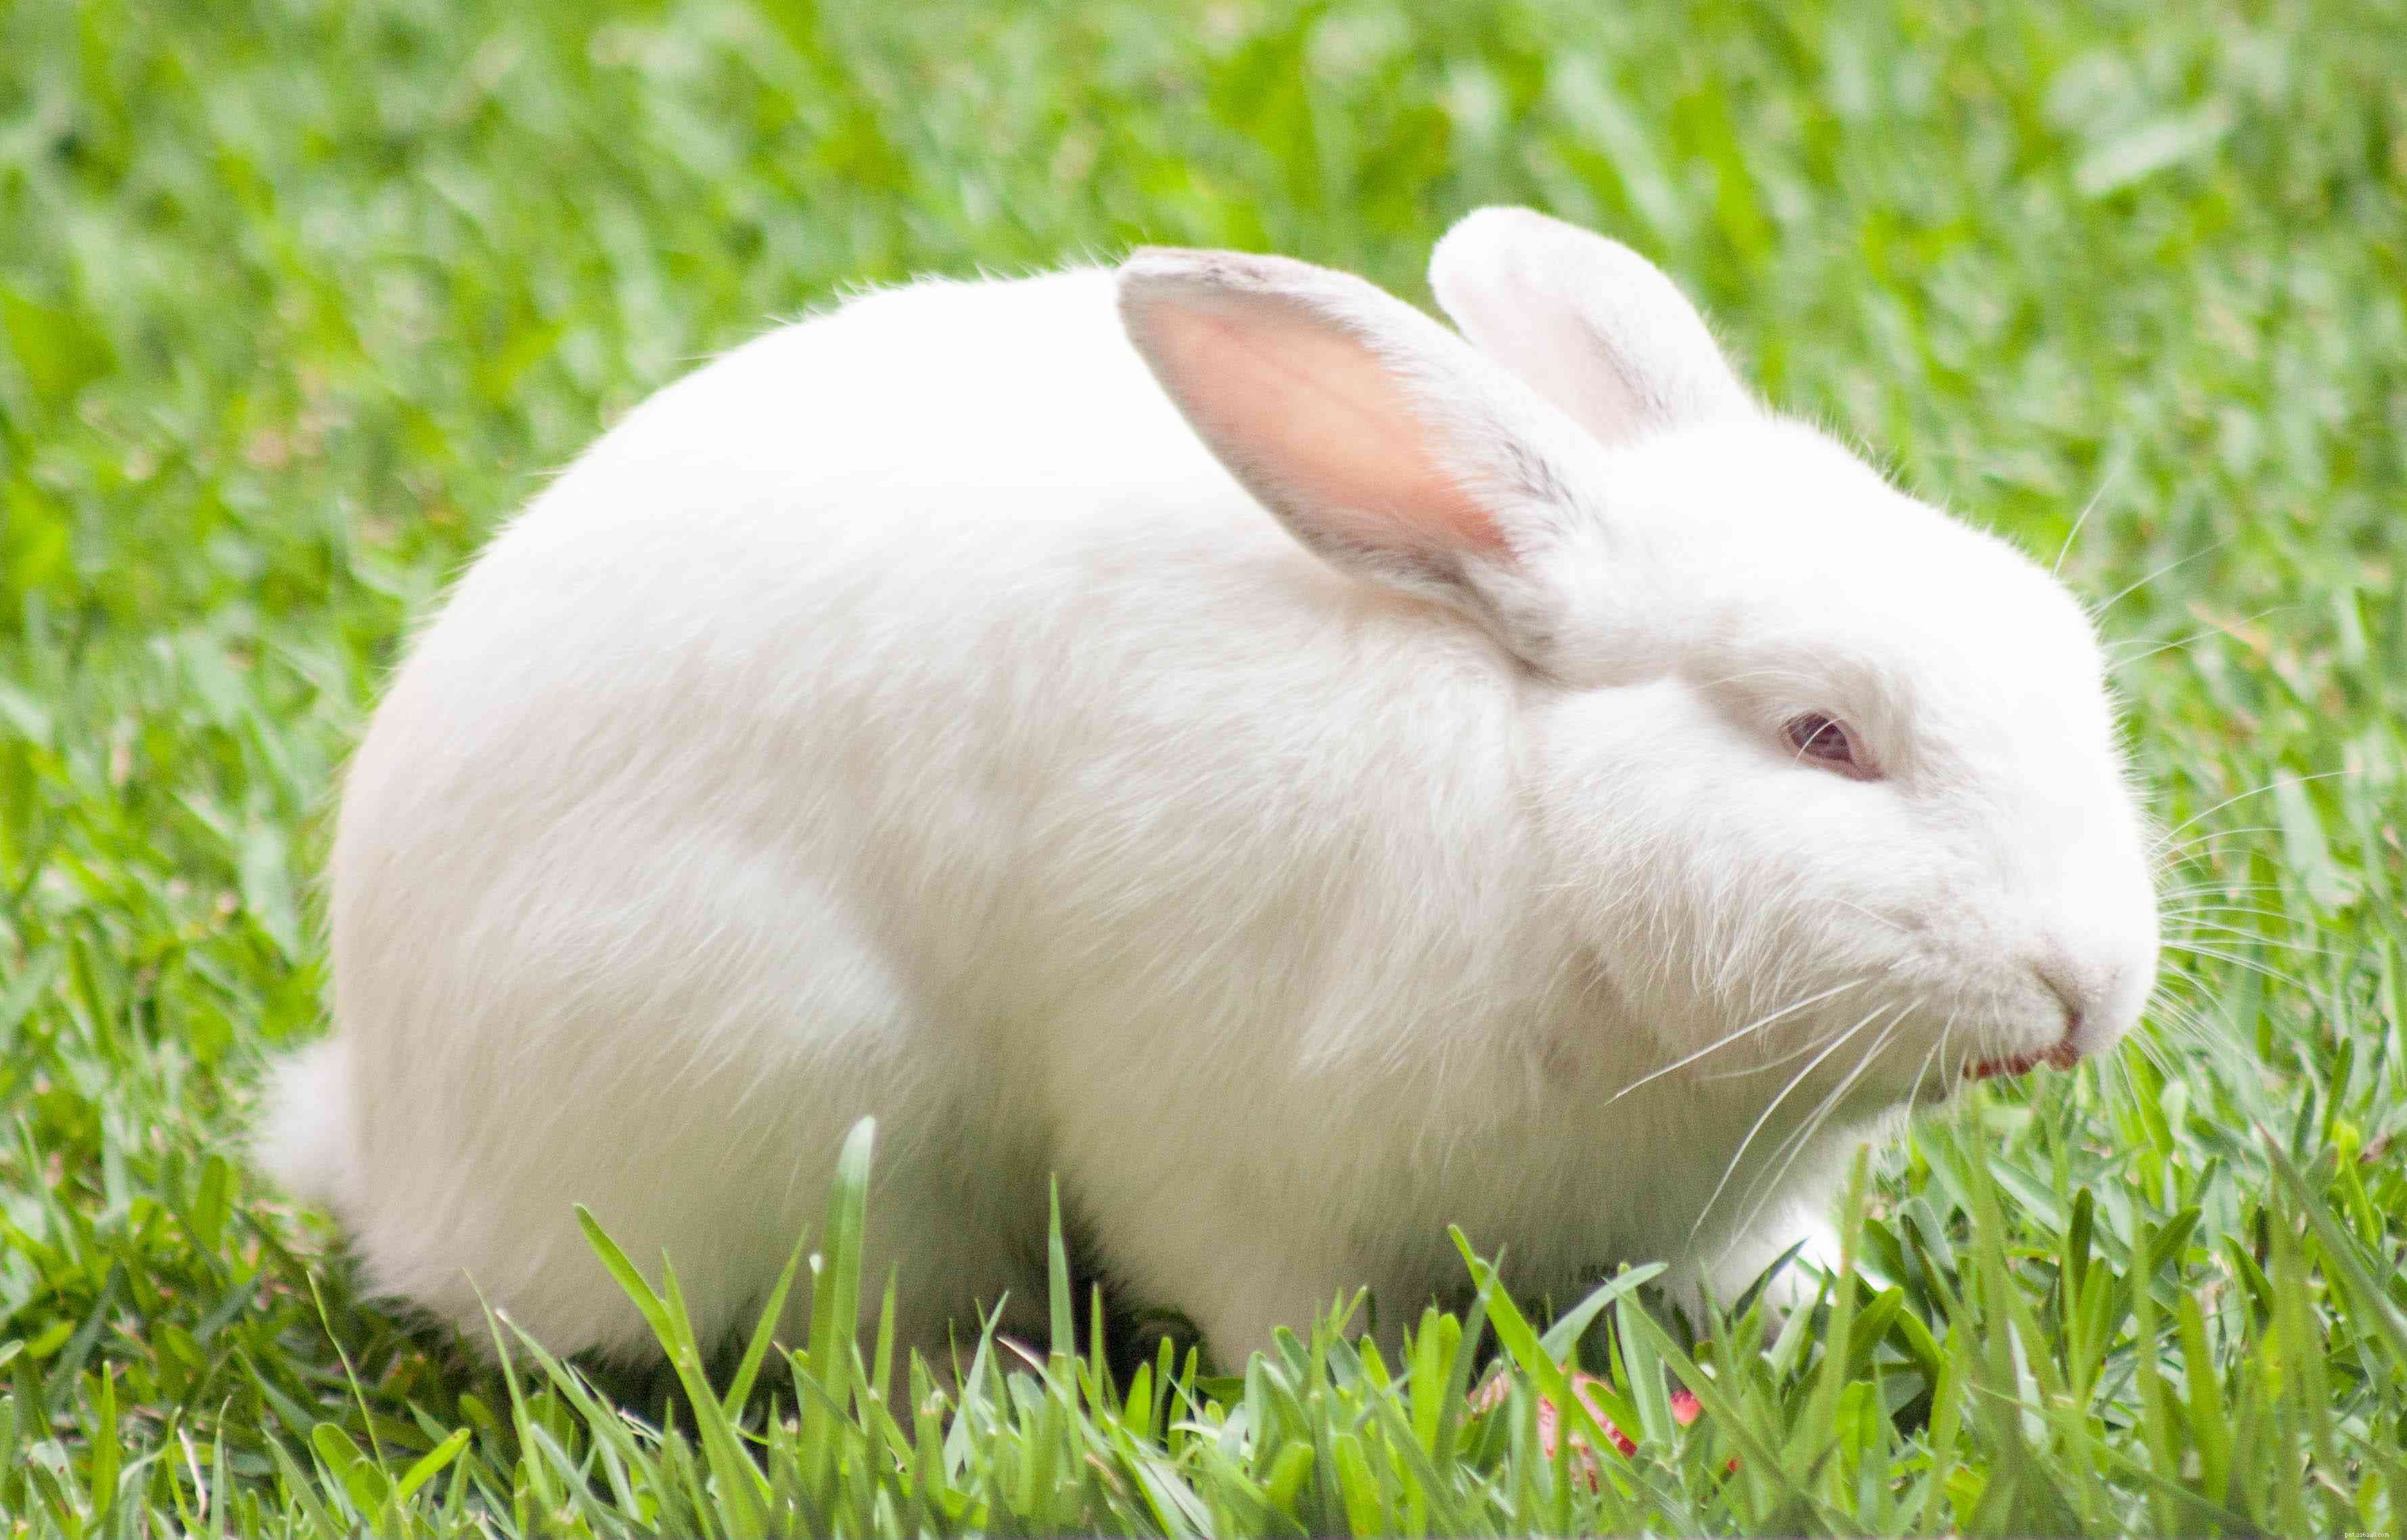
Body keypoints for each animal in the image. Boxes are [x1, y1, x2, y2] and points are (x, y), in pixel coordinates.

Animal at [256, 207, 2159, 1369]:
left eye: (2059, 645)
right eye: (1822, 735)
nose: (2085, 986)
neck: (1539, 809)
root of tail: (396, 1151)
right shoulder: (1230, 1149)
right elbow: (1276, 1311)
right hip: (812, 1101)